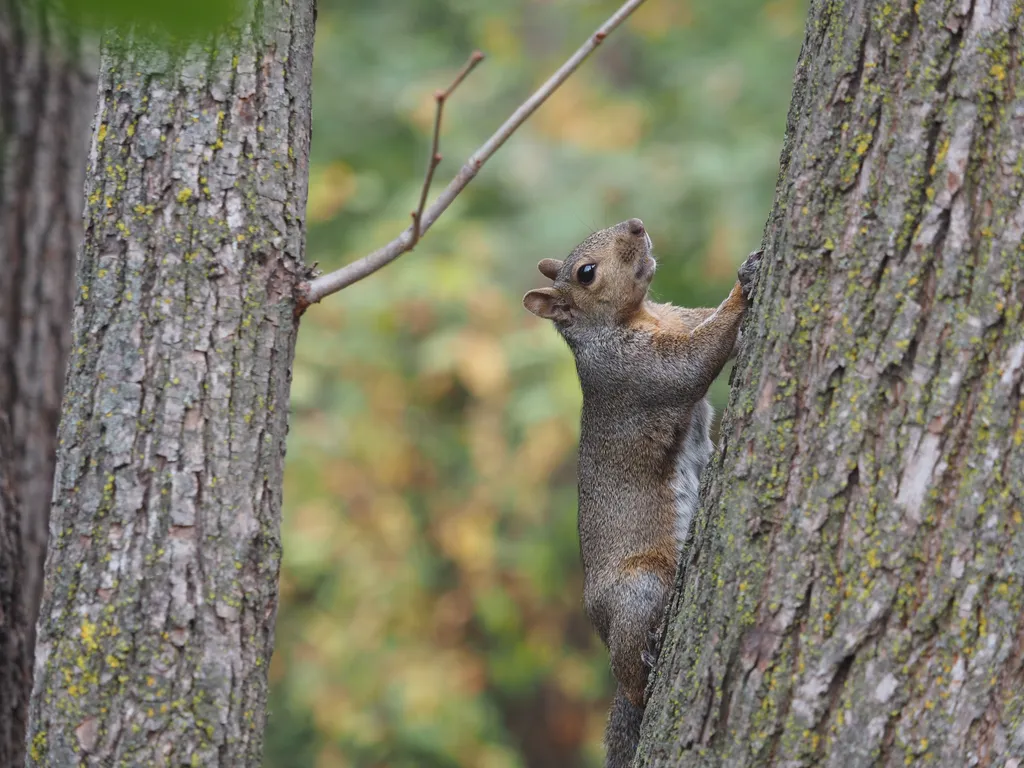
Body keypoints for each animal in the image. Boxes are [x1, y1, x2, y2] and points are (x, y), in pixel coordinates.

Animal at [520, 218, 761, 768]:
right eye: (586, 273)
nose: (636, 224)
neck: (638, 315)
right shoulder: (634, 371)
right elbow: (694, 361)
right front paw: (744, 284)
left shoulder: (676, 317)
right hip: (640, 587)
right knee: (629, 674)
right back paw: (645, 670)